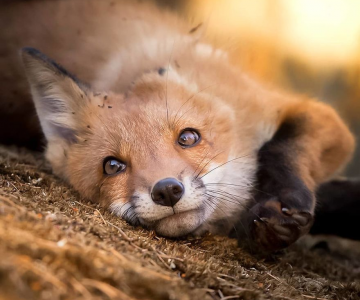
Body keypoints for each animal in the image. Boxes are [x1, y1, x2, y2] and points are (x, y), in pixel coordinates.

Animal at [0, 0, 358, 251]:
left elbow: (279, 149)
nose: (167, 191)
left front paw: (283, 205)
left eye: (188, 137)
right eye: (112, 166)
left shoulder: (308, 115)